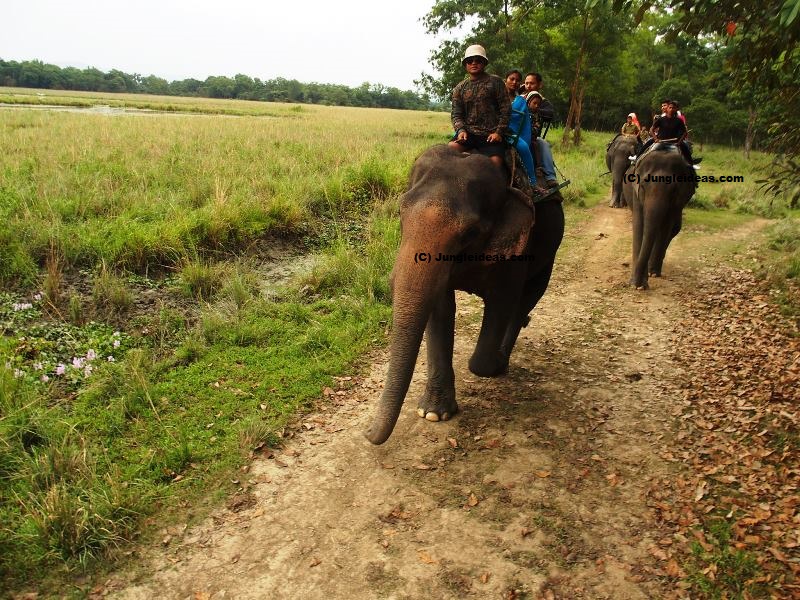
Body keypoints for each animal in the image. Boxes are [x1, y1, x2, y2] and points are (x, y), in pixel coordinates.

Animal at [365, 145, 565, 445]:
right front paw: (433, 414)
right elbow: (440, 310)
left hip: (549, 251)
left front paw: (493, 365)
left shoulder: (520, 246)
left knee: (526, 300)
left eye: (470, 232)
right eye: (400, 214)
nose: (366, 433)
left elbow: (502, 302)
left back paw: (503, 358)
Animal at [623, 143, 696, 289]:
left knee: (673, 229)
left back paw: (653, 270)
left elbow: (666, 226)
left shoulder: (678, 201)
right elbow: (639, 224)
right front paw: (636, 284)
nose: (638, 285)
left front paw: (651, 275)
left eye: (673, 190)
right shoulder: (635, 192)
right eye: (643, 186)